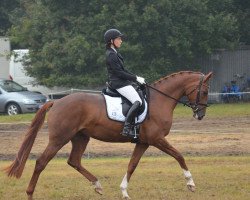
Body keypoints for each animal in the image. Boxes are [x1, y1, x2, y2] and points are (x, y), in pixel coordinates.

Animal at [4, 70, 213, 198]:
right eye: (204, 92)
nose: (200, 115)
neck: (159, 100)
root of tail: (56, 101)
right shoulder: (157, 139)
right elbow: (179, 155)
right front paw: (191, 183)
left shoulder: (143, 142)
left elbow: (132, 165)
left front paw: (124, 192)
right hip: (59, 138)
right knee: (41, 162)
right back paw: (30, 193)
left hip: (81, 137)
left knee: (74, 161)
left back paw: (97, 185)